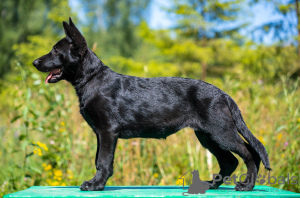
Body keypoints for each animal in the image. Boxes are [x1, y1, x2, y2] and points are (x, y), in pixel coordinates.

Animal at [32, 17, 272, 191]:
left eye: (56, 50)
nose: (34, 62)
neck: (92, 79)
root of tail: (223, 94)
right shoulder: (100, 133)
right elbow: (99, 160)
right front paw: (96, 183)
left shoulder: (107, 131)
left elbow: (103, 161)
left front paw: (95, 185)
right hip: (207, 136)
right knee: (229, 160)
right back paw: (211, 184)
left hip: (221, 132)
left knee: (249, 152)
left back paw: (247, 186)